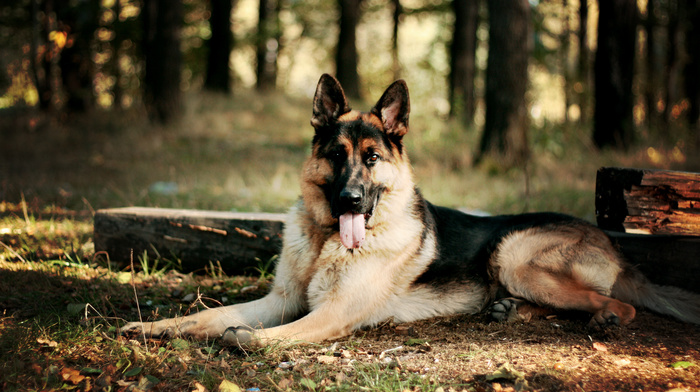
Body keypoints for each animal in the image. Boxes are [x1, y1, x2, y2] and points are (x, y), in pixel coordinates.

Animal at [124, 75, 700, 348]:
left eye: (372, 159)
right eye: (337, 156)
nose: (351, 201)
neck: (324, 241)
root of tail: (615, 248)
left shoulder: (330, 313)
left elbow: (272, 333)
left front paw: (248, 341)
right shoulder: (278, 300)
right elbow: (209, 315)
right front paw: (156, 326)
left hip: (513, 253)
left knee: (616, 304)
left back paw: (601, 317)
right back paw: (509, 310)